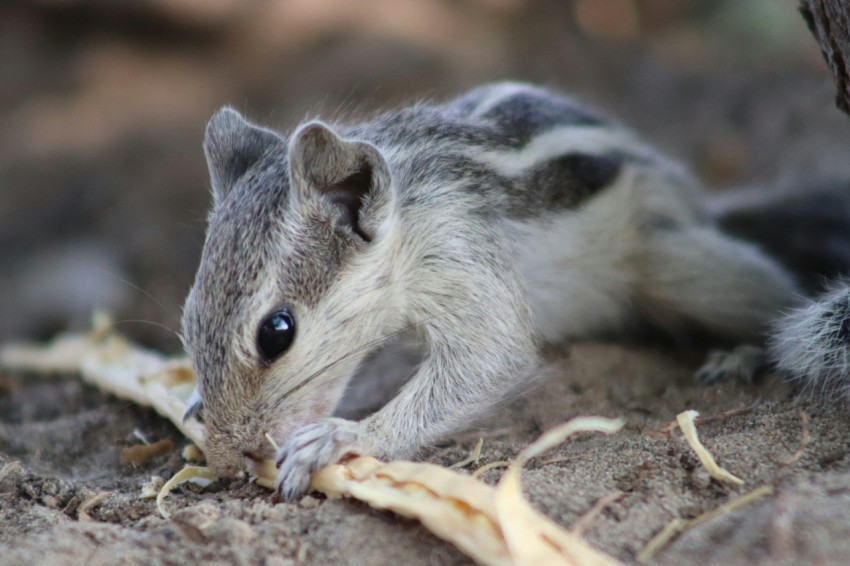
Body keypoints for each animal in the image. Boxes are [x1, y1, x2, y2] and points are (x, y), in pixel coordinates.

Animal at [181, 82, 800, 500]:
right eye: (187, 324)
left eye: (276, 332)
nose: (224, 462)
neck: (409, 208)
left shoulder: (458, 251)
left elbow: (491, 359)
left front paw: (344, 436)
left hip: (673, 264)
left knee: (773, 294)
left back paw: (742, 353)